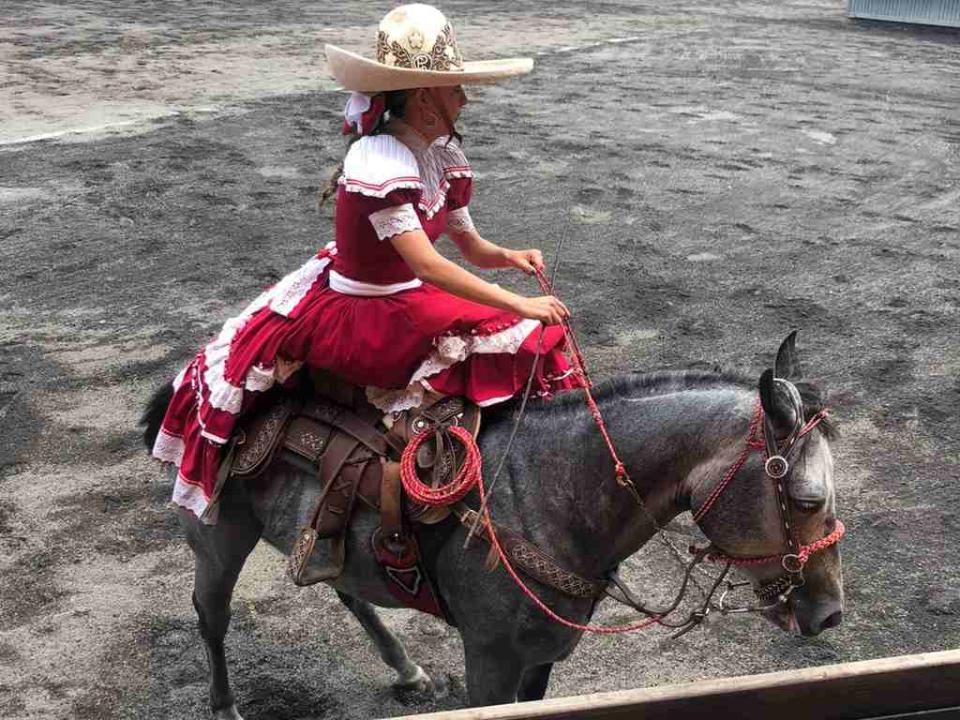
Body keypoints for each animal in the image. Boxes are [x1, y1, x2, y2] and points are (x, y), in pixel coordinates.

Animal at [141, 334, 840, 716]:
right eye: (807, 500)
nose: (830, 613)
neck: (550, 498)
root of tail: (189, 379)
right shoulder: (490, 661)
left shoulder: (539, 663)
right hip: (218, 539)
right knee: (211, 615)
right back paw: (225, 706)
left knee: (346, 590)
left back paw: (407, 670)